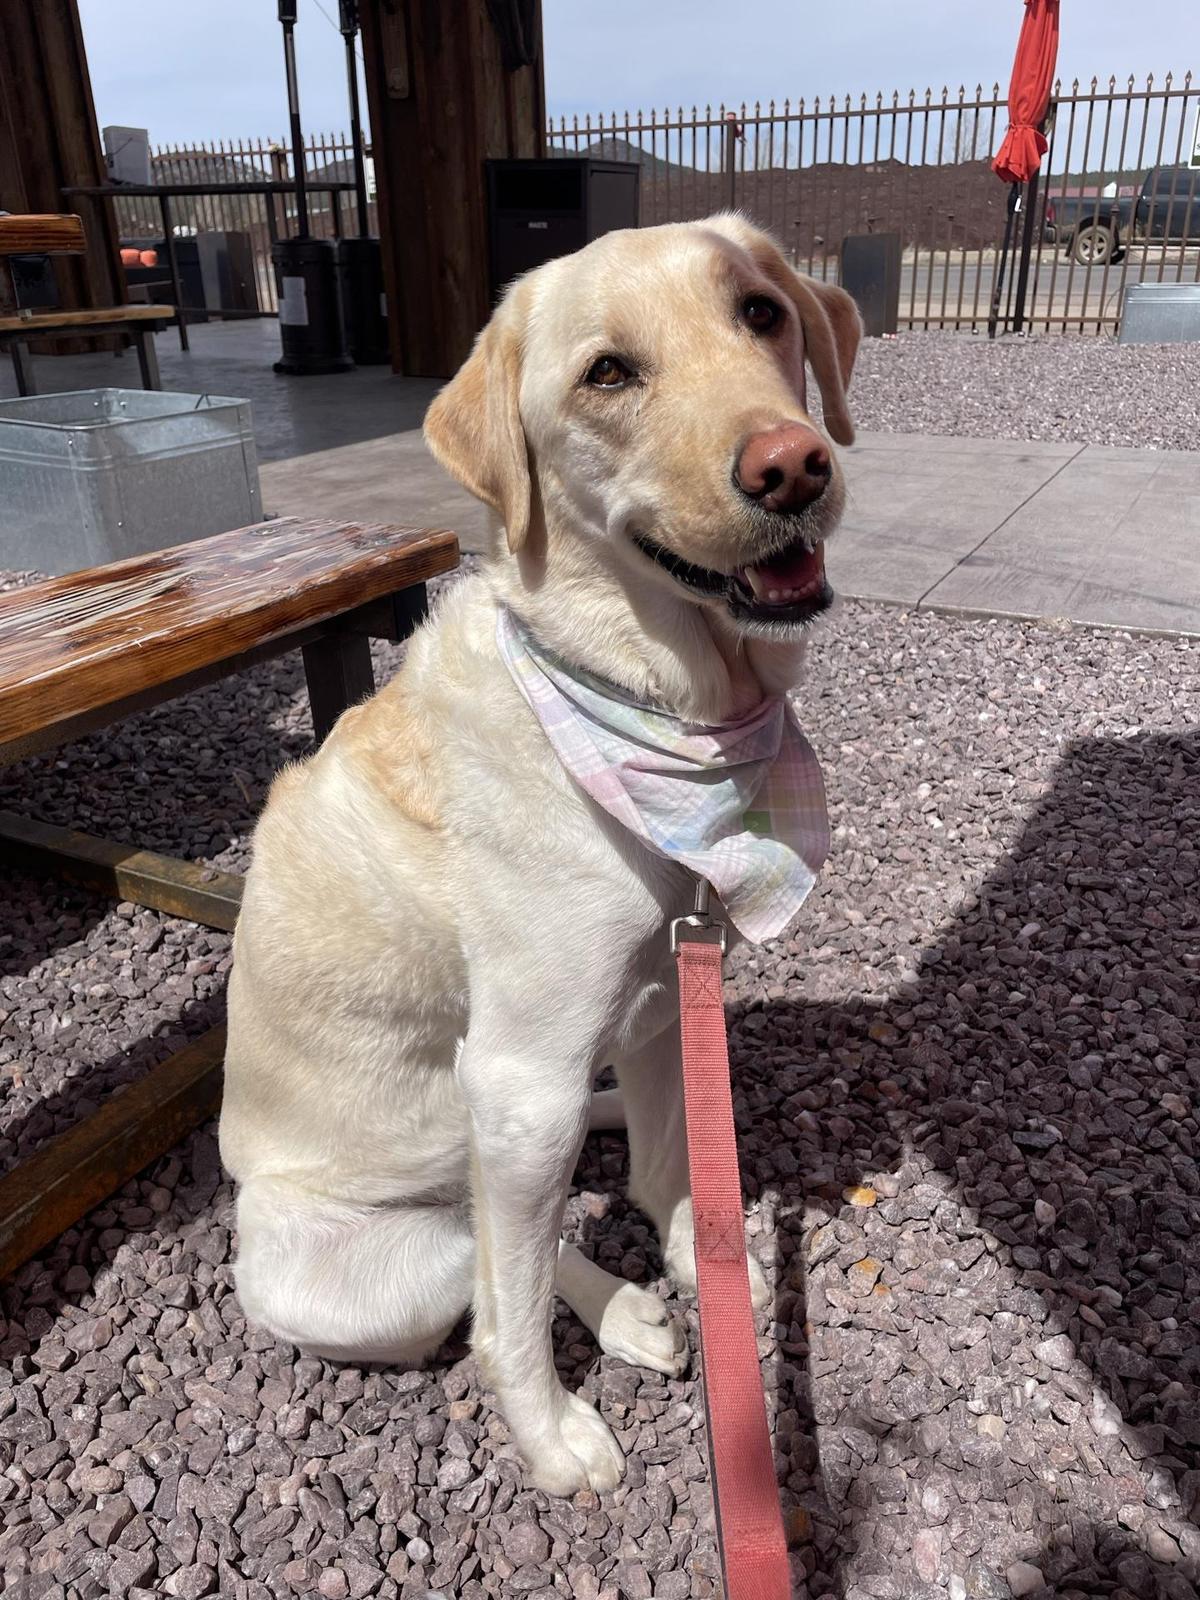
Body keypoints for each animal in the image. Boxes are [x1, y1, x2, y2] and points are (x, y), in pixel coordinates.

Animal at [219, 213, 860, 1495]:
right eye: (607, 373)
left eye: (762, 312)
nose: (793, 466)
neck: (642, 695)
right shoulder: (520, 1079)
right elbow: (508, 1314)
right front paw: (552, 1432)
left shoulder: (666, 993)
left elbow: (668, 1172)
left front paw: (704, 1267)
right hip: (368, 1267)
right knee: (475, 1264)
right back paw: (608, 1314)